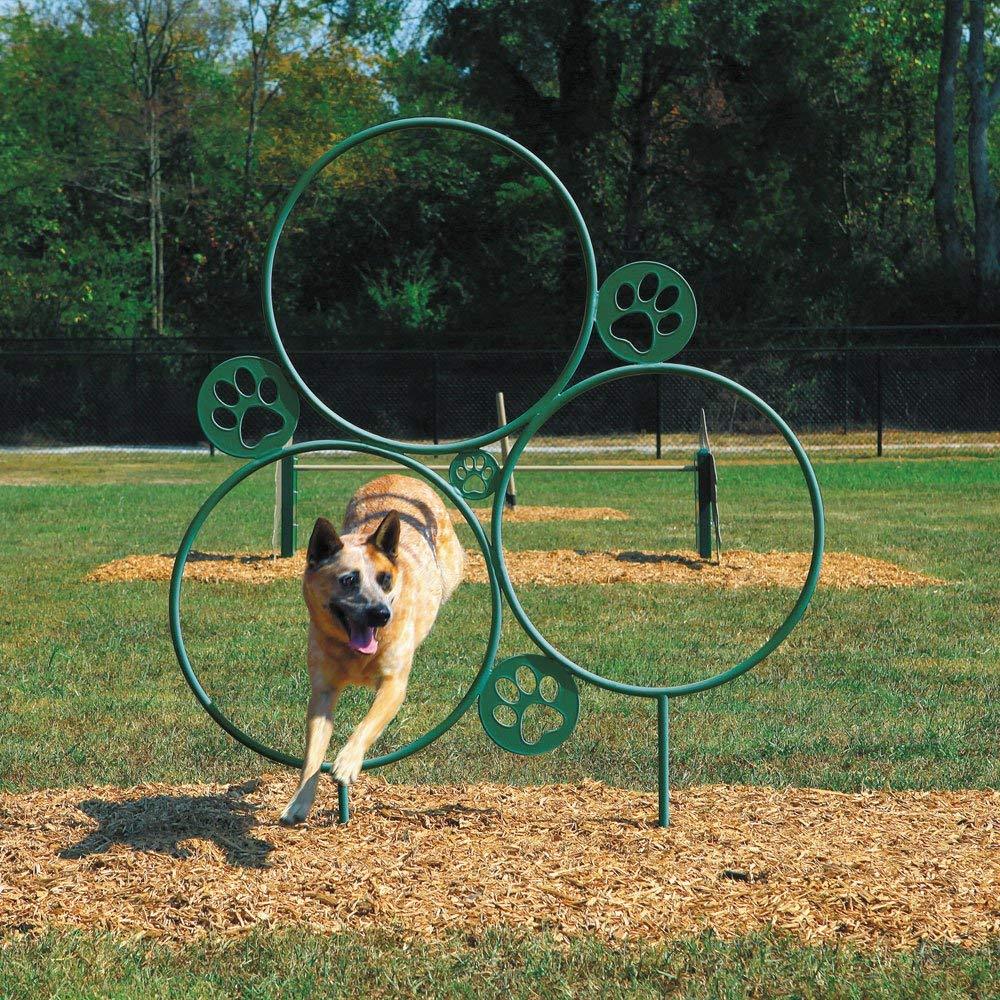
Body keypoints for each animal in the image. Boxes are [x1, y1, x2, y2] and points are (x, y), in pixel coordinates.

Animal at [278, 472, 464, 824]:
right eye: (349, 580)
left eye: (385, 579)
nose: (382, 614)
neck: (353, 654)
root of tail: (396, 474)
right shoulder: (322, 692)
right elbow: (312, 757)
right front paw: (299, 803)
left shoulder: (393, 685)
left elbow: (366, 725)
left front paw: (347, 763)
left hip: (450, 568)